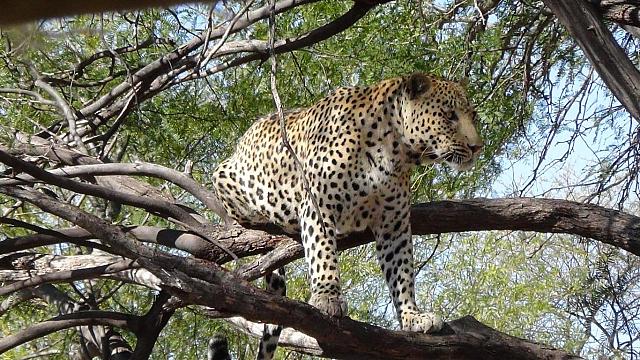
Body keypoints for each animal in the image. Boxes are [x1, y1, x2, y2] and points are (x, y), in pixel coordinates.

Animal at [210, 71, 480, 358]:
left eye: (472, 115)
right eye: (449, 115)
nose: (477, 147)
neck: (395, 151)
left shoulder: (393, 224)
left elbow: (402, 272)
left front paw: (412, 316)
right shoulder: (318, 204)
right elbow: (323, 254)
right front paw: (327, 297)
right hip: (228, 175)